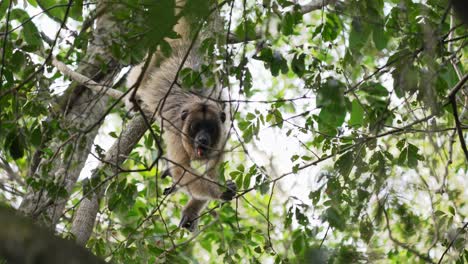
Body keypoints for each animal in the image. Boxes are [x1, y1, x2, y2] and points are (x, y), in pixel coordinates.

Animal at [125, 0, 236, 231]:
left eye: (210, 128)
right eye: (196, 127)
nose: (202, 139)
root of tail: (185, 47)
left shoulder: (224, 131)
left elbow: (212, 168)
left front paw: (192, 210)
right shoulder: (178, 132)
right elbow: (182, 170)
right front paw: (219, 190)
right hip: (160, 50)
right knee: (142, 71)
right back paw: (134, 99)